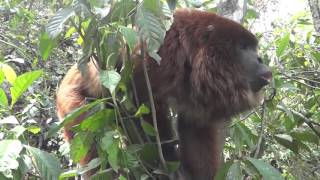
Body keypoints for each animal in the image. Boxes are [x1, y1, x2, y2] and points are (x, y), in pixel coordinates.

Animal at [56, 8, 272, 180]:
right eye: (244, 47)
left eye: (253, 47)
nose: (261, 59)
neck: (193, 52)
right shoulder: (158, 51)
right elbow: (142, 101)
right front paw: (167, 162)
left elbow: (196, 125)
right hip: (73, 107)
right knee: (93, 143)